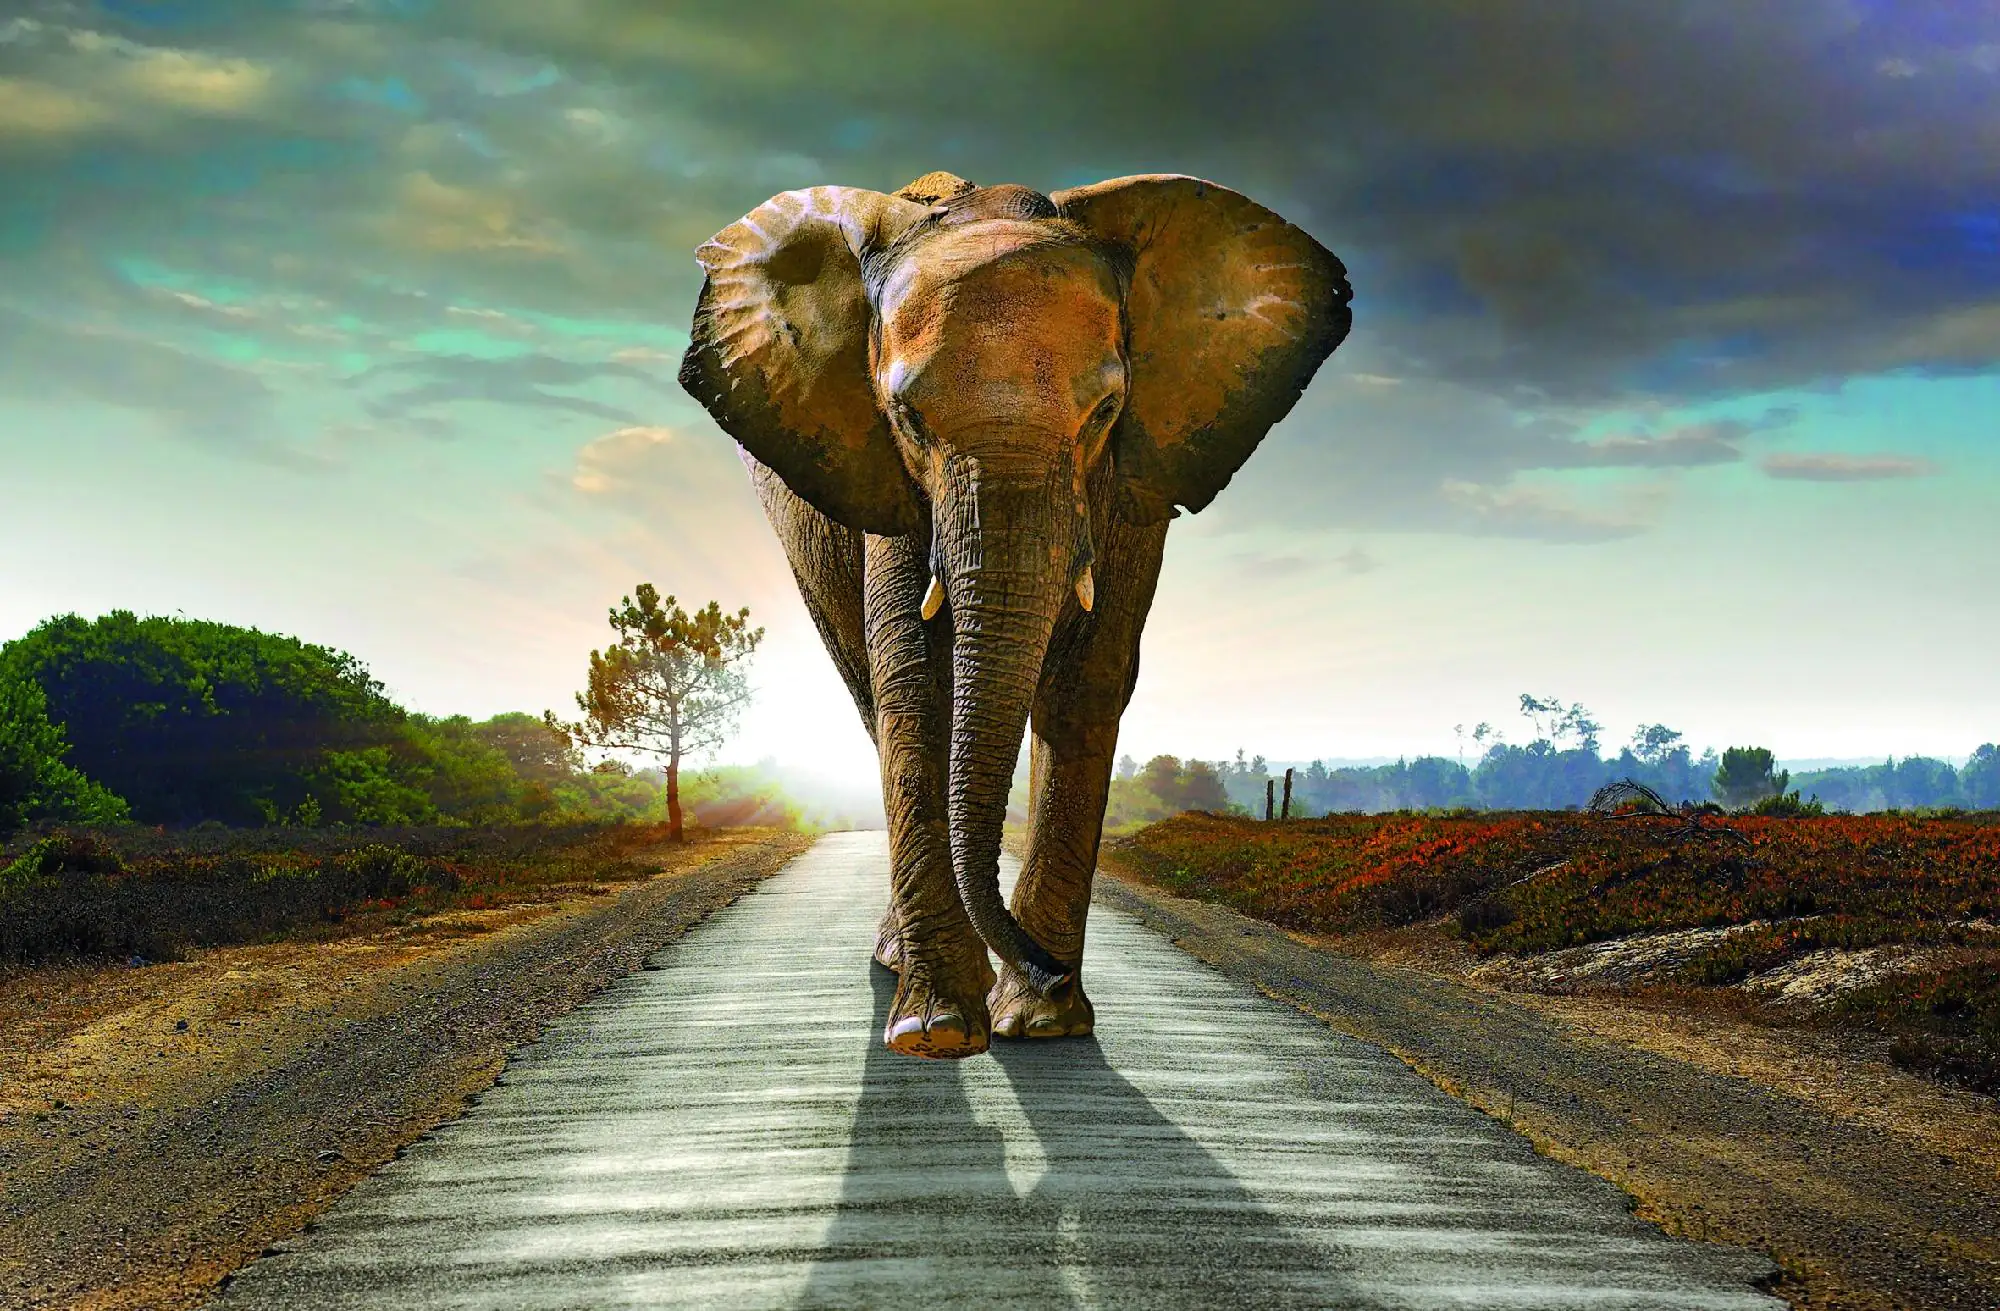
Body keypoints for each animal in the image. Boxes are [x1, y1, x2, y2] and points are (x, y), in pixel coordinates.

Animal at [679, 170, 1351, 1058]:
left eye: (1105, 412)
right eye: (908, 418)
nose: (1048, 967)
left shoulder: (1131, 480)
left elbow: (1088, 680)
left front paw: (1041, 1022)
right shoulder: (888, 481)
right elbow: (916, 681)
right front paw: (937, 1031)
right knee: (869, 693)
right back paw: (901, 964)